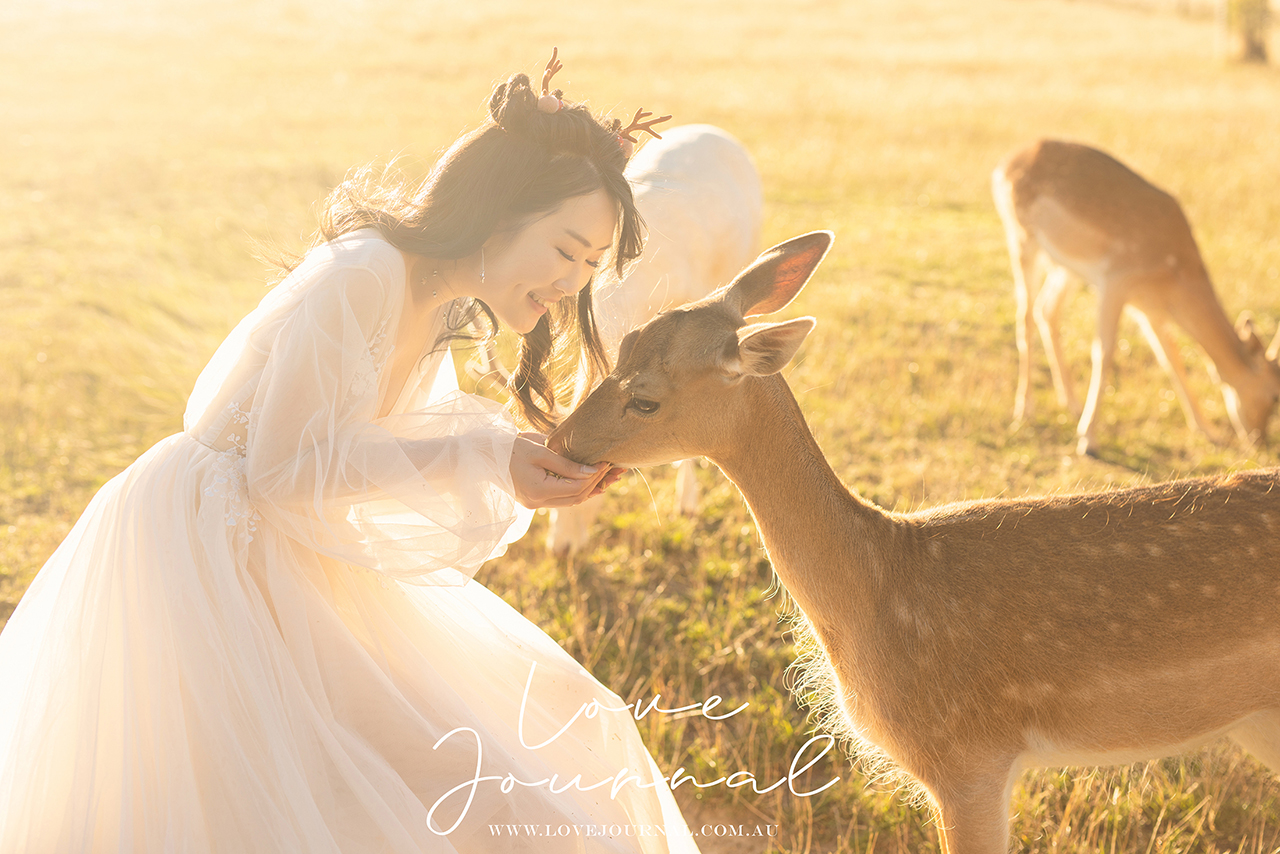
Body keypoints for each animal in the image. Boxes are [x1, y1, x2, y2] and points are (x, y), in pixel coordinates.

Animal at [991, 138, 1280, 456]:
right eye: (1276, 396)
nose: (1258, 439)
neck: (1173, 273)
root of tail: (1004, 163)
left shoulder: (1149, 309)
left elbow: (1170, 358)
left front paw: (1209, 431)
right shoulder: (1116, 280)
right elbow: (1103, 352)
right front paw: (1088, 440)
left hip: (1066, 266)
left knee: (1047, 310)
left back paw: (1071, 403)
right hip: (1022, 238)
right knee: (1025, 316)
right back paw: (1025, 411)